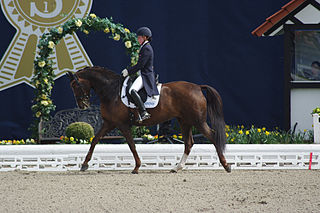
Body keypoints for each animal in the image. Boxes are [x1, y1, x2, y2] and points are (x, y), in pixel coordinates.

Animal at [67, 66, 230, 173]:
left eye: (75, 85)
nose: (82, 105)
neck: (111, 91)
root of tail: (197, 87)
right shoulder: (109, 123)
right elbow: (94, 140)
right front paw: (84, 164)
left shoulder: (122, 124)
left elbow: (132, 145)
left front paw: (137, 167)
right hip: (185, 121)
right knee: (189, 143)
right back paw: (177, 167)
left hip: (198, 121)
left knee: (212, 136)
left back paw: (226, 165)